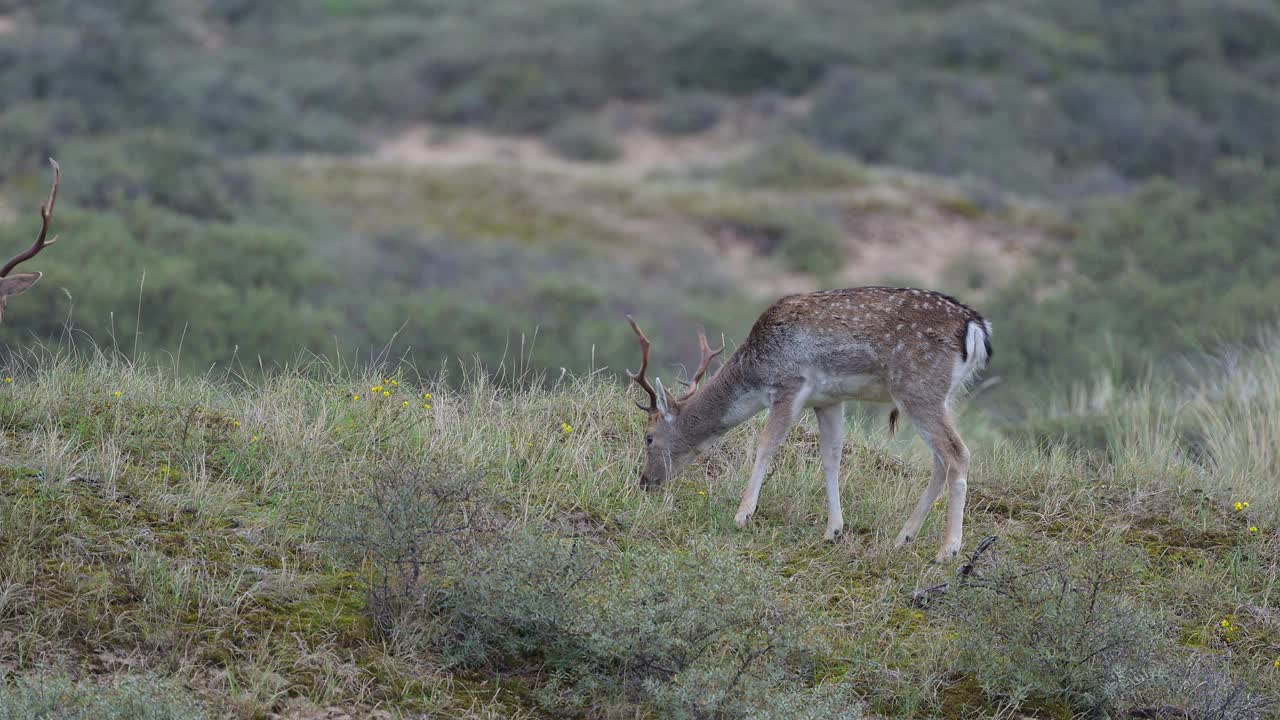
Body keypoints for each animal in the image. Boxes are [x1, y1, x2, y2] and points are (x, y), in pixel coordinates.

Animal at [624, 285, 993, 561]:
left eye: (648, 437)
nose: (645, 481)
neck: (755, 373)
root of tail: (976, 326)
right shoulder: (828, 400)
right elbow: (831, 457)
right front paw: (834, 530)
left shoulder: (789, 385)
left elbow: (766, 445)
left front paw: (743, 515)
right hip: (945, 395)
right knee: (940, 461)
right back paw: (904, 536)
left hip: (918, 388)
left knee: (958, 453)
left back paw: (948, 550)